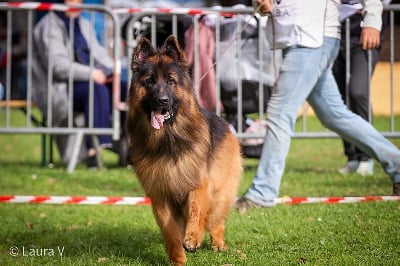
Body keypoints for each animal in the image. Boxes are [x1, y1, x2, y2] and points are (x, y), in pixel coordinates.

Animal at [126, 35, 242, 266]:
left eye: (171, 81)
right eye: (149, 81)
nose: (162, 101)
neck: (168, 140)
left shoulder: (199, 183)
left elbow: (196, 210)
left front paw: (193, 238)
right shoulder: (160, 195)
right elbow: (170, 231)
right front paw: (178, 259)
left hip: (220, 192)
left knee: (216, 219)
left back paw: (218, 243)